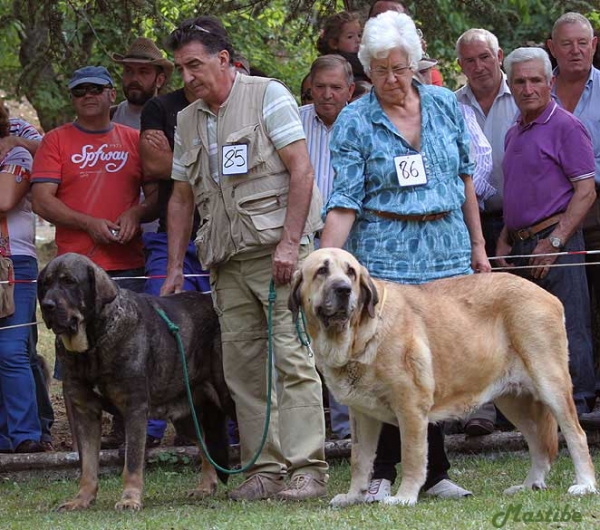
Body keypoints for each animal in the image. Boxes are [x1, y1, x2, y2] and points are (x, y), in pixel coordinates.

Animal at [38, 254, 234, 510]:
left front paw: (129, 499)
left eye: (69, 281)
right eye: (45, 284)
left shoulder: (135, 408)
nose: (47, 305)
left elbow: (131, 462)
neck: (93, 344)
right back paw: (205, 487)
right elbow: (88, 465)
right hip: (186, 415)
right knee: (204, 444)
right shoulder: (85, 412)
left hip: (230, 394)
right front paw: (81, 499)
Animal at [290, 248, 596, 504]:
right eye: (322, 271)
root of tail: (547, 295)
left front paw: (404, 498)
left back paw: (585, 485)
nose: (343, 289)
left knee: (576, 434)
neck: (358, 337)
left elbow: (412, 457)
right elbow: (360, 460)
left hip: (551, 385)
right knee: (539, 444)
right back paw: (530, 485)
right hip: (514, 401)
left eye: (351, 272)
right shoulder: (362, 415)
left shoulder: (411, 408)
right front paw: (354, 496)